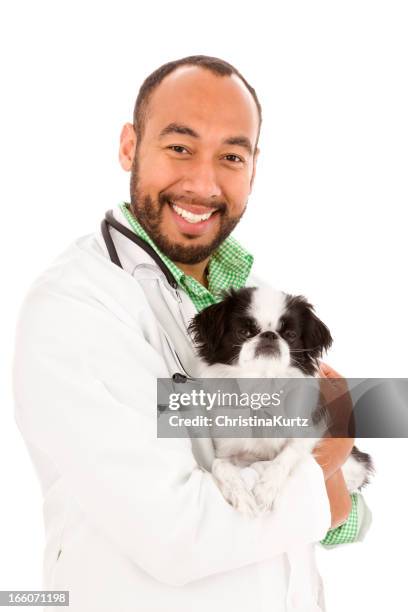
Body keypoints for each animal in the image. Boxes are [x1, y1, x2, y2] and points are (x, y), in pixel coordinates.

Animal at [188, 286, 372, 516]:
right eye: (244, 332)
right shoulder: (225, 451)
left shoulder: (309, 430)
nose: (269, 334)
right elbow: (219, 466)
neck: (262, 385)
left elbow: (285, 456)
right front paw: (243, 499)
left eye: (290, 335)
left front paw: (265, 489)